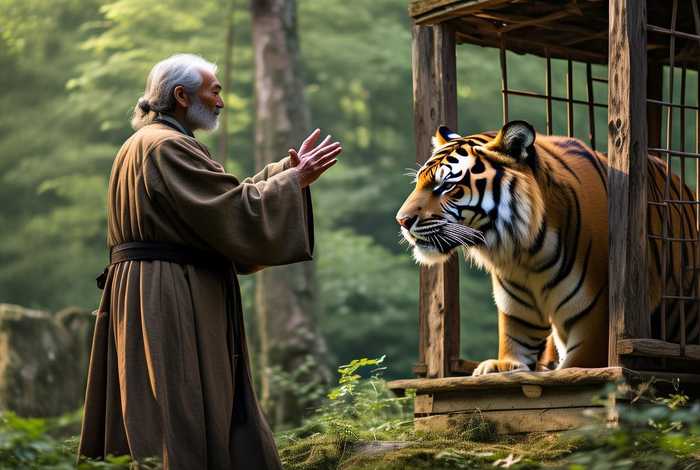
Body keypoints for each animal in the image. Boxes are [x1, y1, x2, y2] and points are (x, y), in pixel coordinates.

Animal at [396, 120, 699, 375]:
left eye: (447, 186)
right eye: (419, 182)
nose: (402, 220)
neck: (524, 253)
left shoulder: (595, 316)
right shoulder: (518, 311)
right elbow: (514, 346)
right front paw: (496, 367)